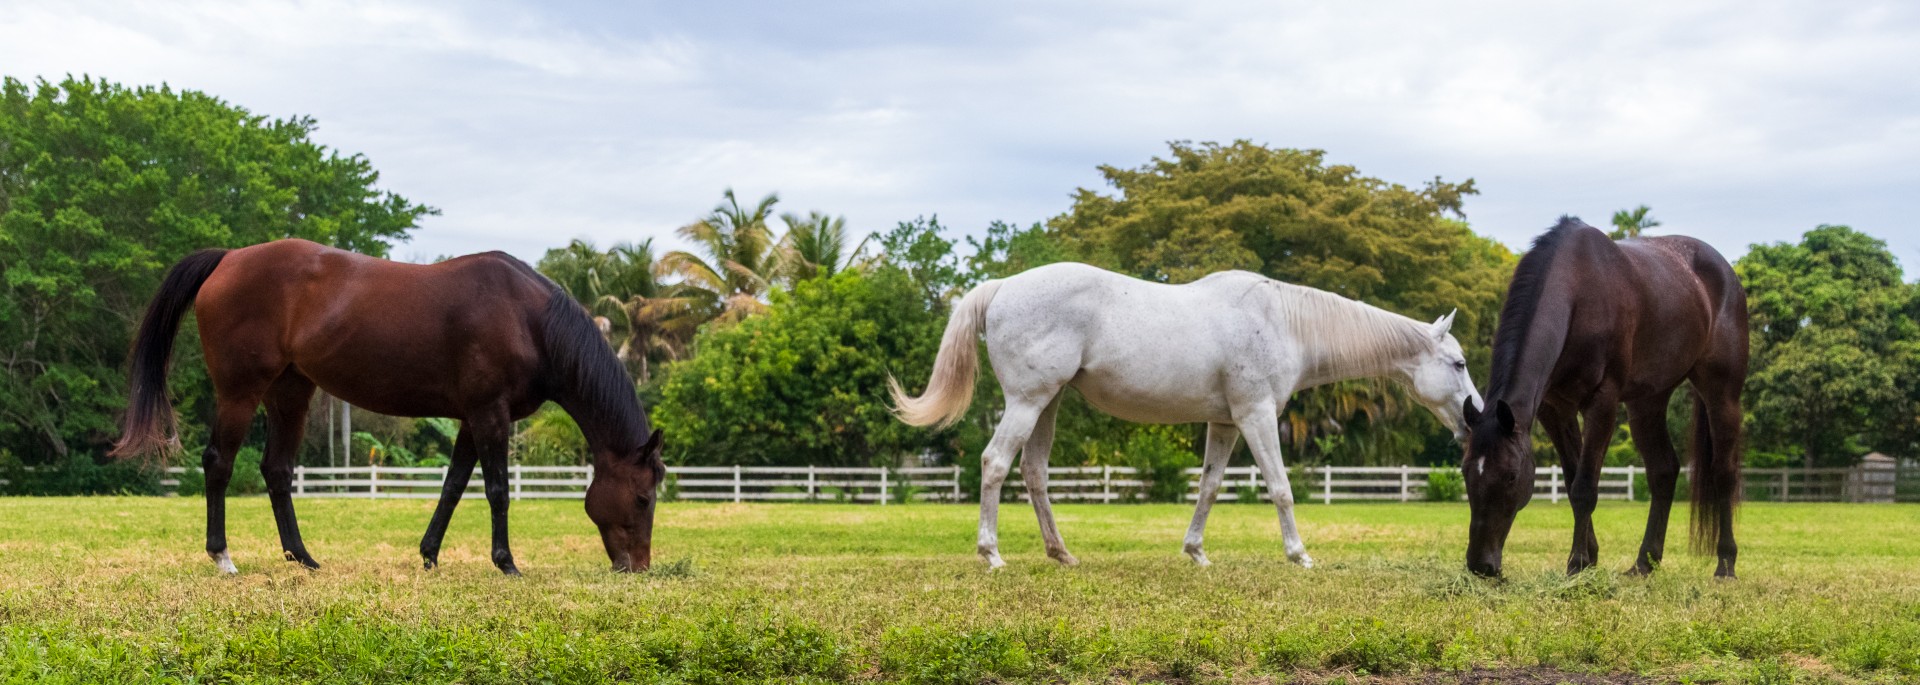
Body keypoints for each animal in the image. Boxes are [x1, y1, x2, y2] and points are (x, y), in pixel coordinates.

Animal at [112, 239, 666, 575]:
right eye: (643, 498)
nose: (636, 567)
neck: (527, 318)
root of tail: (228, 258)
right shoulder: (490, 414)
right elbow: (496, 491)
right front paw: (506, 562)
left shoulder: (472, 419)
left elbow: (452, 488)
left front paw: (429, 556)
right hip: (240, 393)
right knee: (219, 464)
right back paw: (223, 557)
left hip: (290, 393)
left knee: (277, 470)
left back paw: (302, 558)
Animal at [890, 262, 1482, 569]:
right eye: (1458, 363)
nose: (1473, 420)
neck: (1283, 322)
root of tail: (1002, 287)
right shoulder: (1255, 416)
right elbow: (1281, 487)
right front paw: (1299, 555)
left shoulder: (1224, 423)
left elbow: (1210, 487)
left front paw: (1196, 553)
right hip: (1027, 402)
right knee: (994, 464)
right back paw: (991, 554)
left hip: (1047, 404)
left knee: (1034, 472)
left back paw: (1062, 554)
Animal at [1461, 218, 1747, 579]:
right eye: (1465, 472)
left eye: (1511, 475)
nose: (1481, 565)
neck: (1578, 293)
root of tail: (1725, 272)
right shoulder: (1556, 410)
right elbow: (1572, 481)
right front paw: (1589, 558)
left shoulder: (1602, 403)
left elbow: (1585, 487)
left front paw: (1577, 562)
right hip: (1647, 403)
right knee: (1663, 472)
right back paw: (1644, 563)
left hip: (1721, 394)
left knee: (1724, 472)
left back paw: (1725, 564)